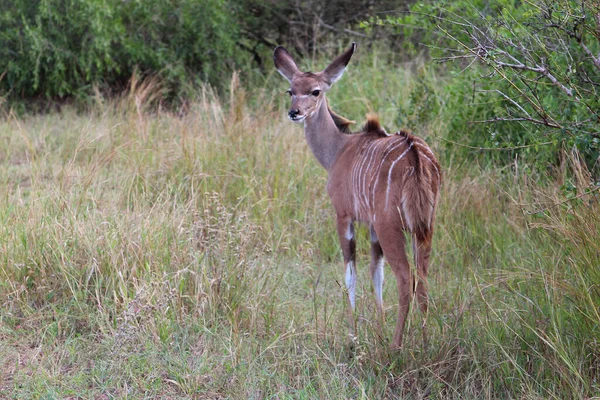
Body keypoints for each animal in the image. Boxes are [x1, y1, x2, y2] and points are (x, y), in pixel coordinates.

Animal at [276, 43, 440, 346]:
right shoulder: (373, 227)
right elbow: (376, 273)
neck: (339, 149)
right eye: (290, 90)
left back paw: (397, 345)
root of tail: (414, 155)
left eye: (316, 91)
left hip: (392, 227)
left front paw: (354, 333)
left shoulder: (344, 216)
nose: (294, 112)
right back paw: (424, 339)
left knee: (406, 277)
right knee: (422, 276)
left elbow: (350, 272)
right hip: (424, 226)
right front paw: (378, 327)